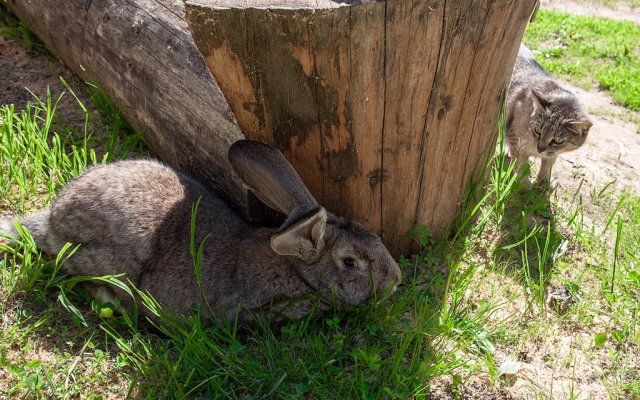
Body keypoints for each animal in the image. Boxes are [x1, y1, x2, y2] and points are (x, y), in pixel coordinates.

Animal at [508, 43, 592, 187]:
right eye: (538, 131)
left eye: (558, 141)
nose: (540, 149)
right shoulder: (514, 138)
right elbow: (521, 164)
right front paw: (523, 183)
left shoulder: (553, 153)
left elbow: (549, 162)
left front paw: (544, 182)